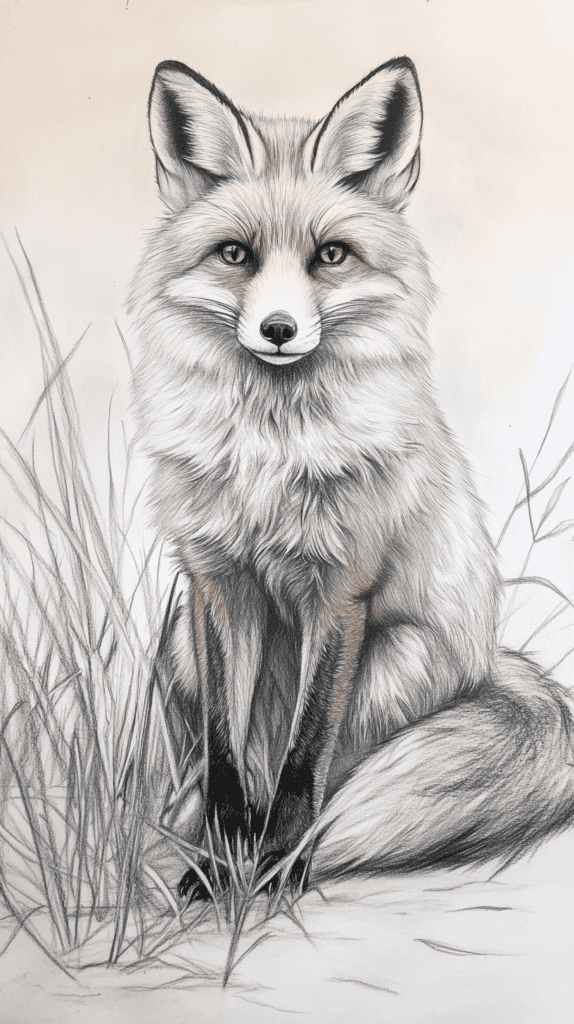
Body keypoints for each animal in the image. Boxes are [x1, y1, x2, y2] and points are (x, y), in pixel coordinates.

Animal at [129, 56, 574, 896]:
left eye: (330, 255)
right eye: (235, 255)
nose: (277, 330)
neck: (271, 455)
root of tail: (488, 664)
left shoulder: (341, 590)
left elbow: (306, 754)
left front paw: (273, 865)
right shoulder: (215, 582)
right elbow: (227, 749)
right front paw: (219, 861)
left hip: (395, 663)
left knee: (334, 768)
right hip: (177, 640)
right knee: (219, 759)